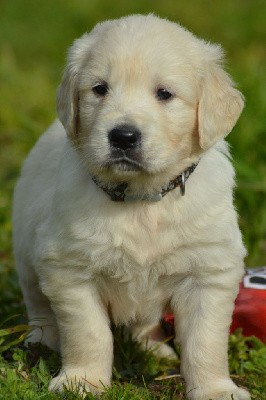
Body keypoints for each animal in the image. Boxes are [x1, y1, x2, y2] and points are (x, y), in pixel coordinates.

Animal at [12, 14, 249, 398]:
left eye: (165, 93)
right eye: (99, 89)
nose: (122, 136)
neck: (142, 199)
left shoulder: (209, 270)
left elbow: (205, 342)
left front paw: (215, 389)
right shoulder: (70, 269)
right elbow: (89, 333)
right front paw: (82, 380)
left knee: (145, 323)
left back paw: (154, 348)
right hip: (26, 254)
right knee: (39, 305)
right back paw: (42, 340)